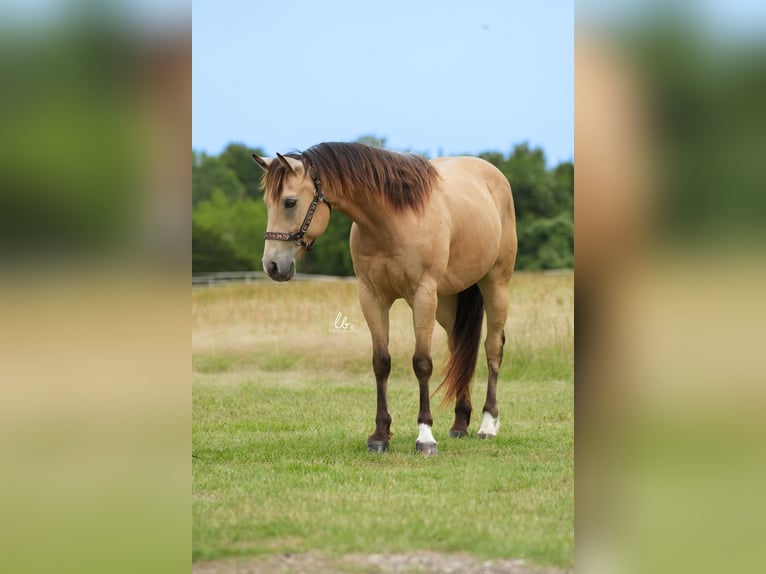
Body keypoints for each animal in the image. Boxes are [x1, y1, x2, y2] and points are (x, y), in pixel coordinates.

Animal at [255, 144, 520, 460]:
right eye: (268, 203)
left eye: (290, 202)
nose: (272, 266)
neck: (391, 220)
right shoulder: (372, 297)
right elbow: (381, 362)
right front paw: (380, 435)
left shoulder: (423, 296)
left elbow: (422, 363)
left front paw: (425, 437)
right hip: (447, 302)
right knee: (459, 348)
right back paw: (459, 423)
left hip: (496, 285)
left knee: (493, 348)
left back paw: (488, 424)